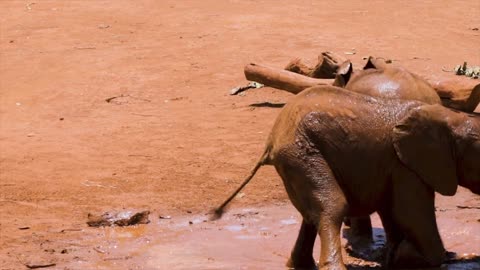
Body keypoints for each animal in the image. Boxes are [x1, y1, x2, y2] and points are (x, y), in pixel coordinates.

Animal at [215, 85, 480, 268]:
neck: (449, 117)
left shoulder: (394, 166)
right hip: (302, 153)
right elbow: (411, 214)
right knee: (332, 206)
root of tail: (271, 139)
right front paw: (417, 256)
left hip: (296, 158)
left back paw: (298, 265)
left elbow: (393, 213)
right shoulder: (406, 166)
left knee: (311, 215)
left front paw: (393, 257)